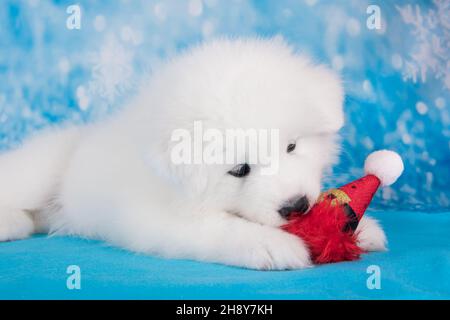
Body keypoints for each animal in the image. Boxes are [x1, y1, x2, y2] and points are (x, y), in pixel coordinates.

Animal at [0, 38, 386, 270]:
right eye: (240, 169)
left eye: (292, 146)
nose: (297, 206)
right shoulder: (155, 219)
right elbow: (221, 227)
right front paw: (272, 244)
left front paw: (358, 226)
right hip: (38, 171)